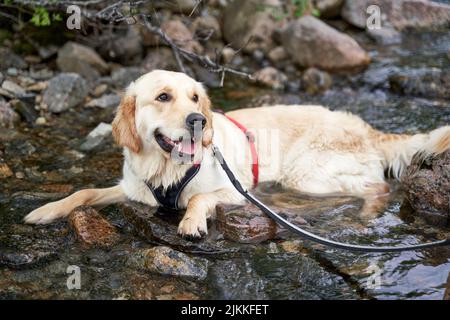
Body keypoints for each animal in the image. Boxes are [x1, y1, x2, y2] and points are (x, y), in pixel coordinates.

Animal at [24, 70, 450, 240]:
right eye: (162, 97)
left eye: (195, 97)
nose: (198, 119)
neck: (166, 167)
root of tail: (365, 127)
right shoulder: (134, 188)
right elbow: (84, 192)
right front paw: (46, 211)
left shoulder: (236, 188)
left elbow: (199, 197)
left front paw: (191, 221)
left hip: (308, 173)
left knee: (377, 188)